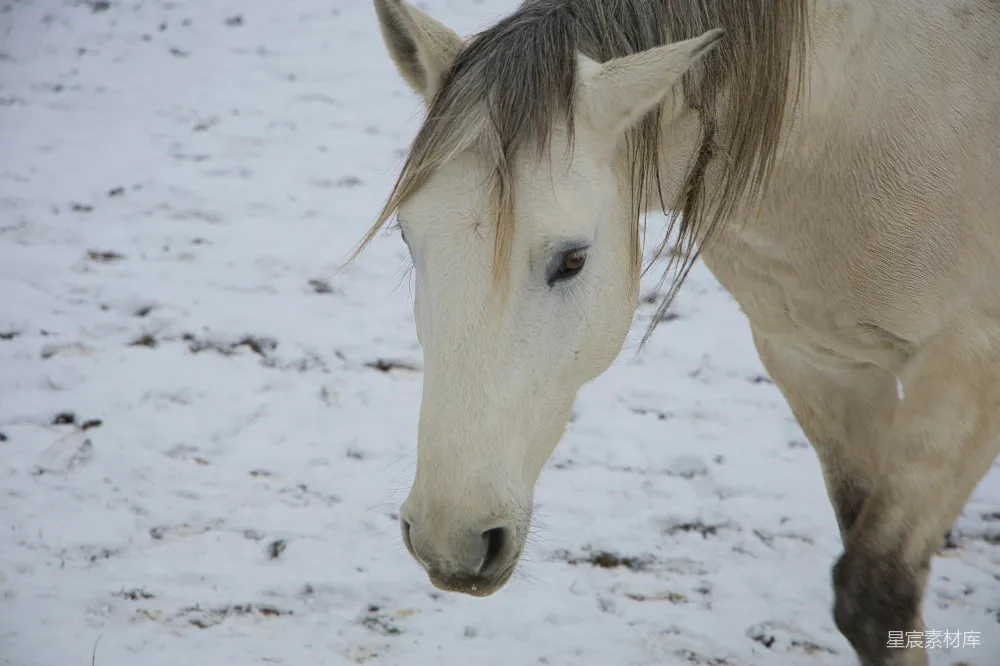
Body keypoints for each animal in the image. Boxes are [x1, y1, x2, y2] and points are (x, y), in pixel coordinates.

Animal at [353, 1, 1000, 664]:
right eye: (407, 237)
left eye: (573, 260)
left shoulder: (967, 371)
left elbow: (877, 594)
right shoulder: (818, 362)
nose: (449, 540)